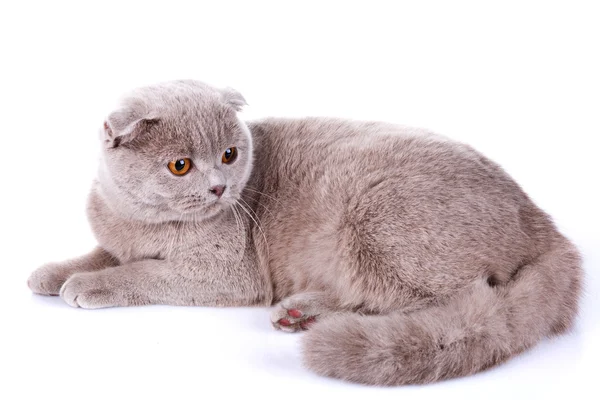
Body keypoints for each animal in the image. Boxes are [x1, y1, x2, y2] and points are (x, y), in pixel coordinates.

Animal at [27, 79, 580, 384]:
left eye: (230, 154)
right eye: (180, 166)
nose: (219, 187)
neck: (144, 222)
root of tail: (545, 226)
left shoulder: (225, 273)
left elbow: (141, 272)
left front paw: (87, 286)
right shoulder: (117, 237)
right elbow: (101, 254)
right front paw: (51, 274)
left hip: (375, 217)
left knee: (437, 301)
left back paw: (304, 314)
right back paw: (300, 314)